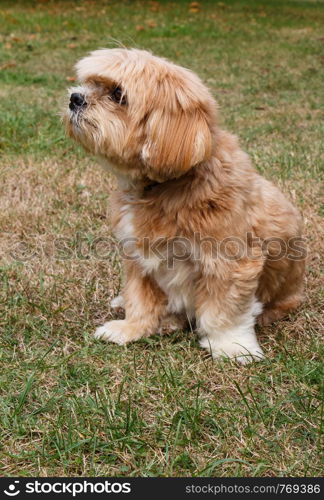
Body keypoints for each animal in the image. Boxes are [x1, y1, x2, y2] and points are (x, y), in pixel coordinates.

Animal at [62, 48, 304, 364]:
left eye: (118, 94)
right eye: (91, 83)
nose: (75, 98)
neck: (162, 188)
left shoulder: (229, 262)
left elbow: (224, 311)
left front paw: (232, 346)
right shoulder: (138, 257)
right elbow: (139, 299)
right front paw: (131, 328)